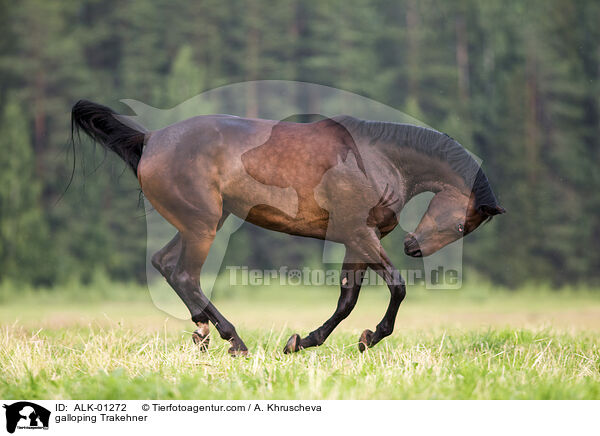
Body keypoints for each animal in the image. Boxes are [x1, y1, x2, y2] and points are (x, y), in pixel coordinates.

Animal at [70, 100, 504, 356]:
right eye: (462, 223)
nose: (414, 247)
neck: (379, 157)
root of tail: (150, 140)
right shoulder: (360, 234)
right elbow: (396, 287)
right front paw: (370, 335)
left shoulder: (357, 240)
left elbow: (347, 301)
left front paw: (304, 342)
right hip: (203, 224)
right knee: (184, 274)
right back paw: (233, 340)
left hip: (205, 220)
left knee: (164, 263)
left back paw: (203, 331)